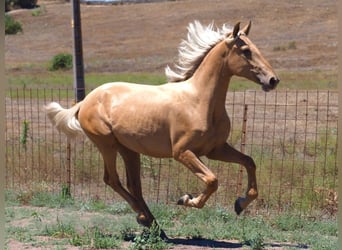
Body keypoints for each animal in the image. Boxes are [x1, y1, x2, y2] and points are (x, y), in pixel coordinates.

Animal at [45, 21, 280, 236]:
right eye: (246, 50)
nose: (273, 80)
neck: (199, 101)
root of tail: (85, 101)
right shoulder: (182, 152)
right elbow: (212, 180)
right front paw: (185, 199)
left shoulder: (216, 149)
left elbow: (249, 162)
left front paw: (239, 204)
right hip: (107, 145)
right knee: (112, 179)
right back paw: (144, 218)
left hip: (128, 149)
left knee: (134, 185)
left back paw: (152, 223)